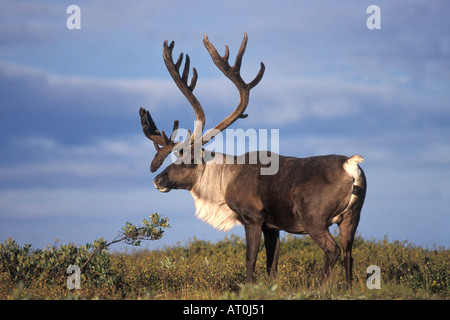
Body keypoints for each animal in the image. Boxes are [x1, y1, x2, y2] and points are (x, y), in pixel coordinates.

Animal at [140, 35, 366, 284]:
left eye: (187, 160)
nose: (158, 180)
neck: (223, 181)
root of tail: (351, 165)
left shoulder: (253, 218)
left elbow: (250, 260)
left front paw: (248, 286)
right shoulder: (273, 226)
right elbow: (271, 265)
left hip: (315, 220)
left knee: (332, 250)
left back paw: (320, 287)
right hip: (352, 218)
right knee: (349, 254)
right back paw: (347, 286)